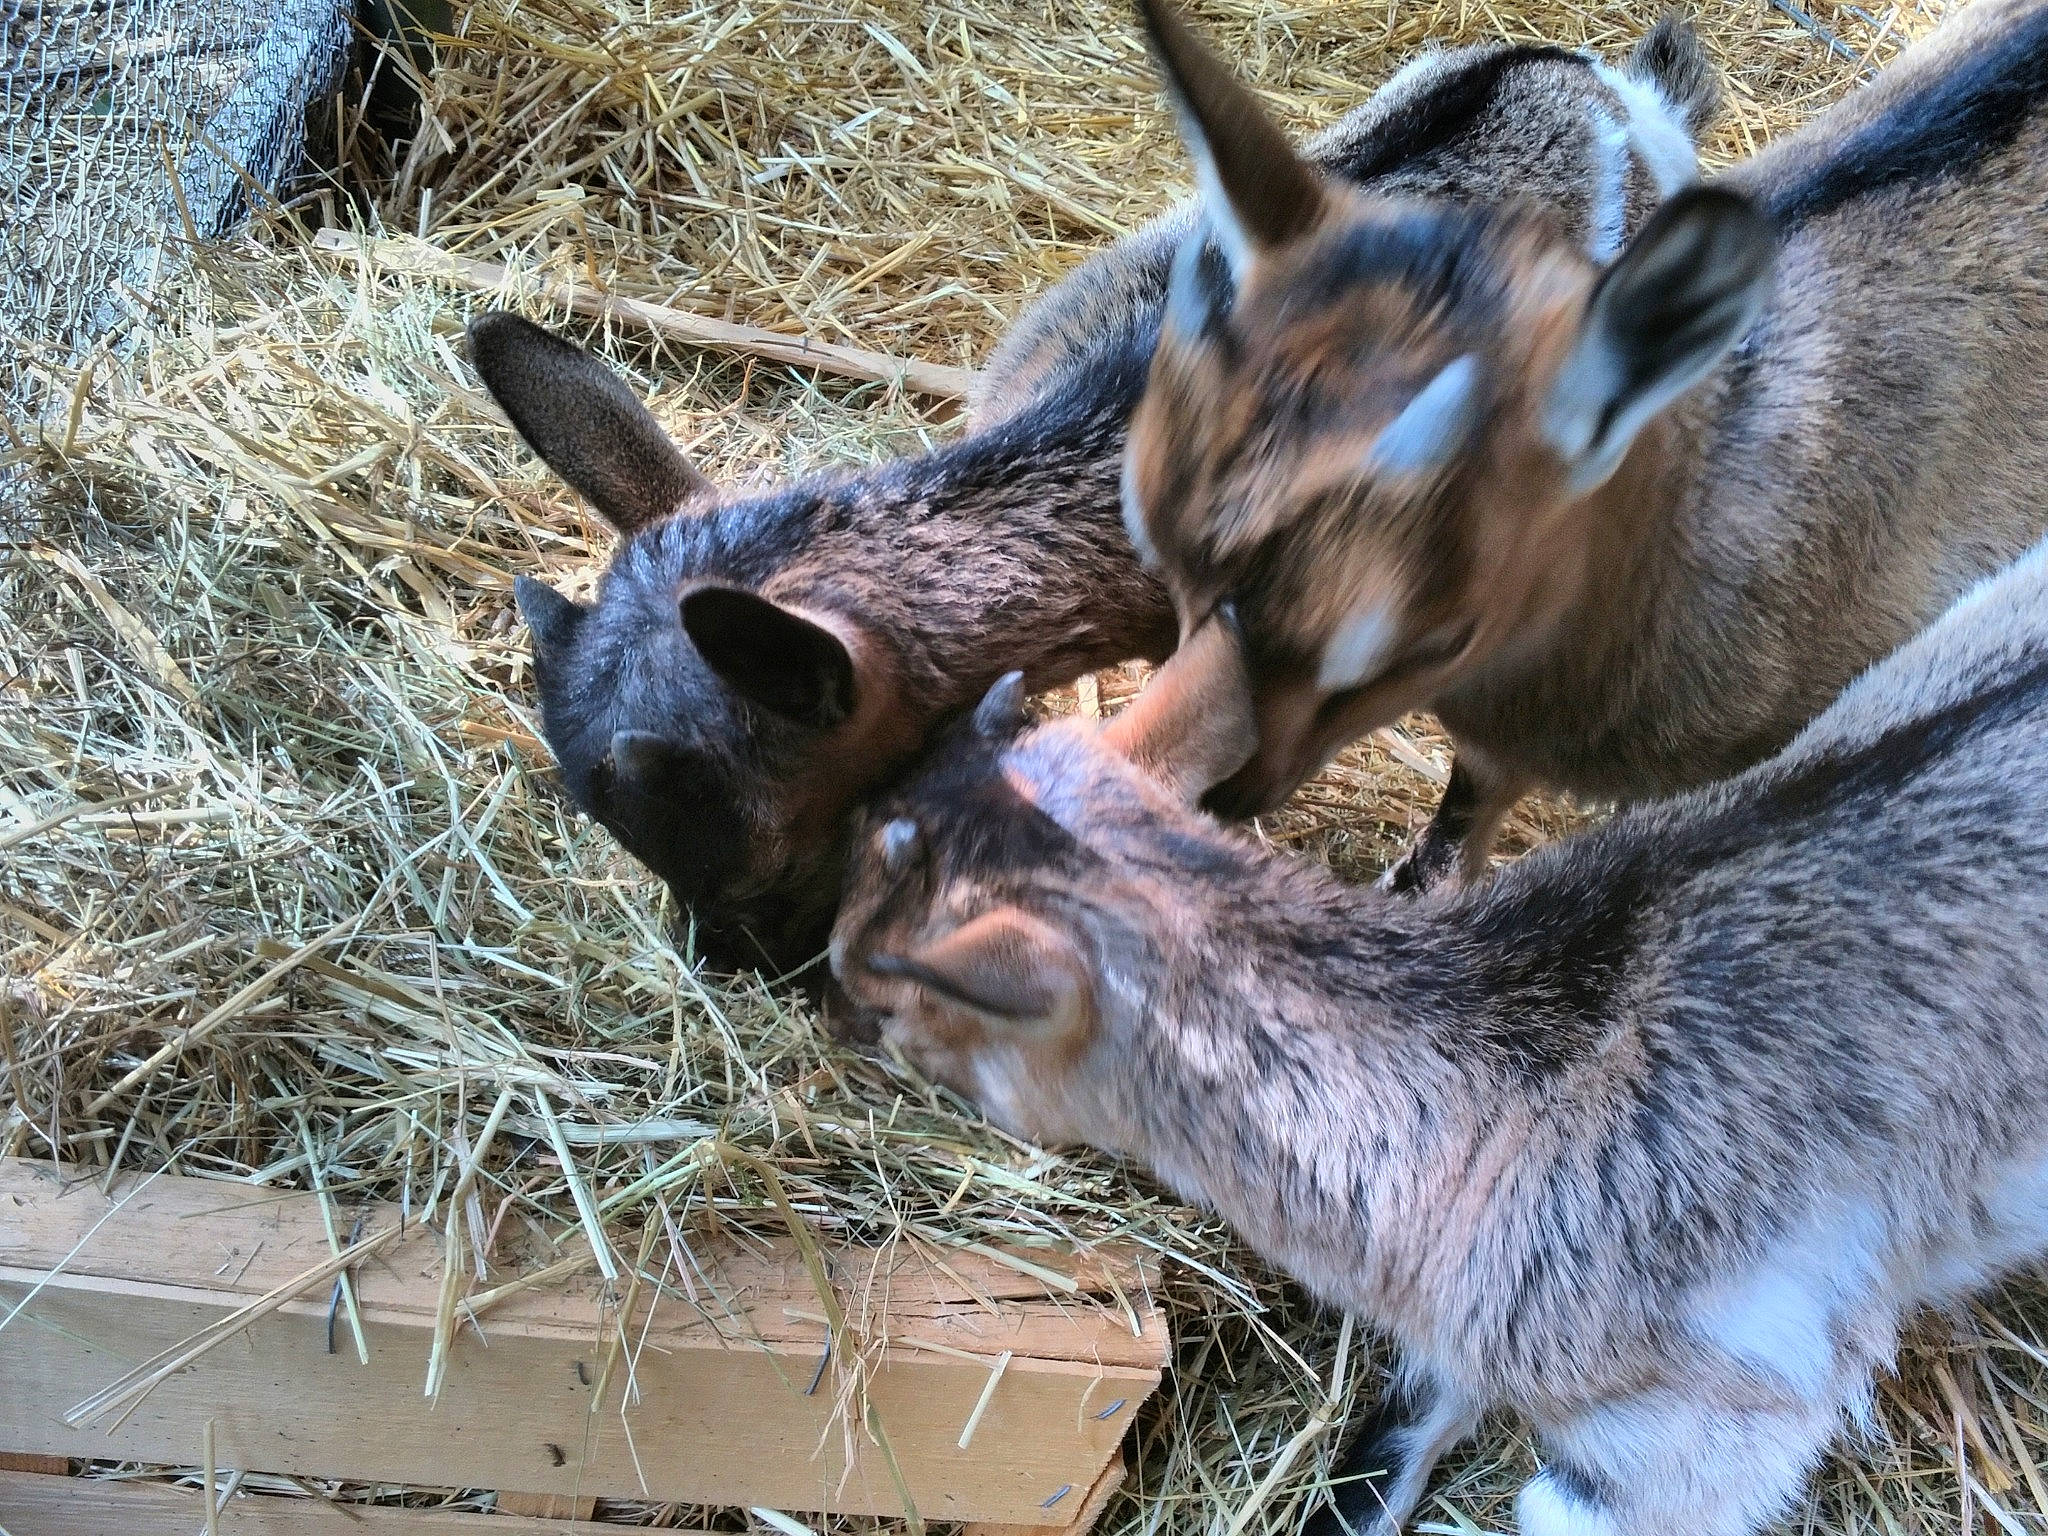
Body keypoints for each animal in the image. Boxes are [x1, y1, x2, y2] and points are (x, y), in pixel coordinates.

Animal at [830, 534, 2048, 1536]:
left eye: (896, 990)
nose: (829, 979)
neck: (1516, 1077)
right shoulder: (1451, 1321)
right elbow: (1376, 1464)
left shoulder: (1708, 1430)